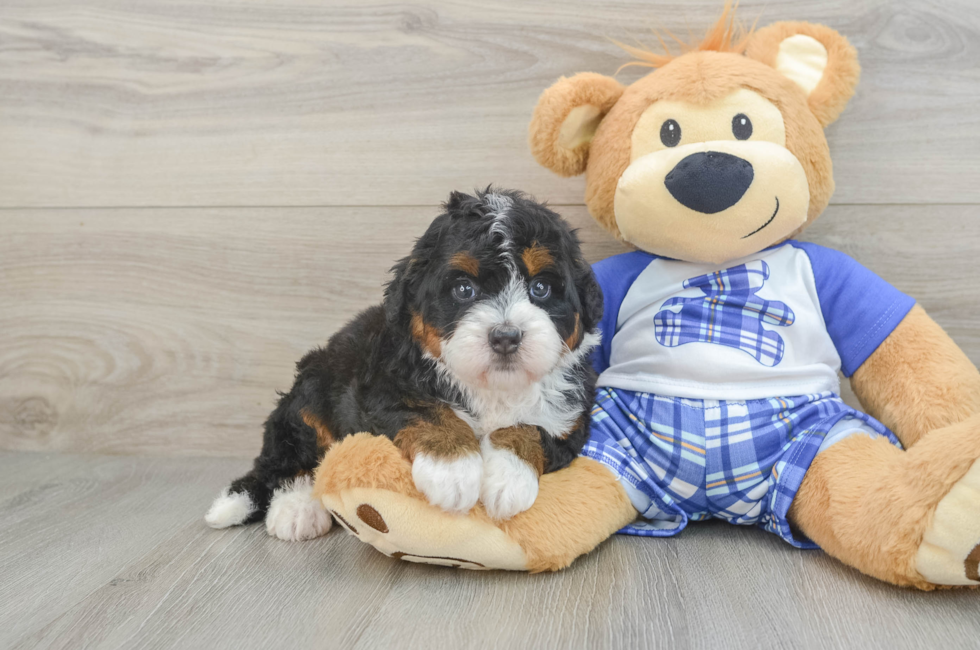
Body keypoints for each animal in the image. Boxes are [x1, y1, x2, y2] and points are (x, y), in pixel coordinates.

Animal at [205, 186, 604, 536]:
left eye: (541, 288)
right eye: (464, 290)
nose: (505, 336)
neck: (491, 388)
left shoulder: (571, 418)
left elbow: (530, 428)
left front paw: (508, 480)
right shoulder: (381, 388)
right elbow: (428, 412)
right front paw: (453, 469)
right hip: (311, 391)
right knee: (289, 459)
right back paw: (297, 510)